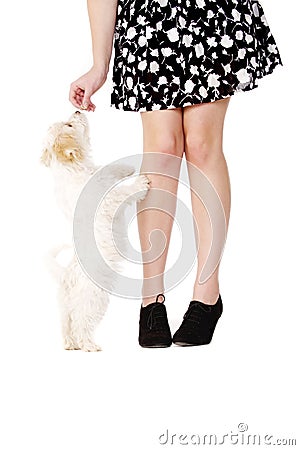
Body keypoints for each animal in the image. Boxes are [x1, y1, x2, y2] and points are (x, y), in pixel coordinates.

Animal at [41, 111, 151, 352]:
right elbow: (123, 192)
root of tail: (65, 276)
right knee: (81, 322)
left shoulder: (101, 175)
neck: (70, 171)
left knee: (66, 325)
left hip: (64, 308)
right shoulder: (110, 199)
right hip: (93, 301)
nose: (78, 111)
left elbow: (108, 170)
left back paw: (70, 345)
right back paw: (88, 345)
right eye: (69, 125)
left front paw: (127, 168)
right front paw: (140, 182)